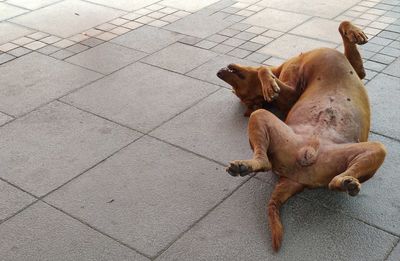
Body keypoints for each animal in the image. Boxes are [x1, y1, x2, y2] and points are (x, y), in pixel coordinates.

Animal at [217, 21, 386, 251]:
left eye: (235, 88)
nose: (219, 73)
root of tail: (296, 177)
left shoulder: (355, 73)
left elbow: (343, 28)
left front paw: (355, 32)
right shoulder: (294, 90)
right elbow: (263, 69)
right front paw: (269, 84)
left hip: (369, 150)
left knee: (334, 178)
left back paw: (345, 182)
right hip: (262, 118)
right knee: (266, 161)